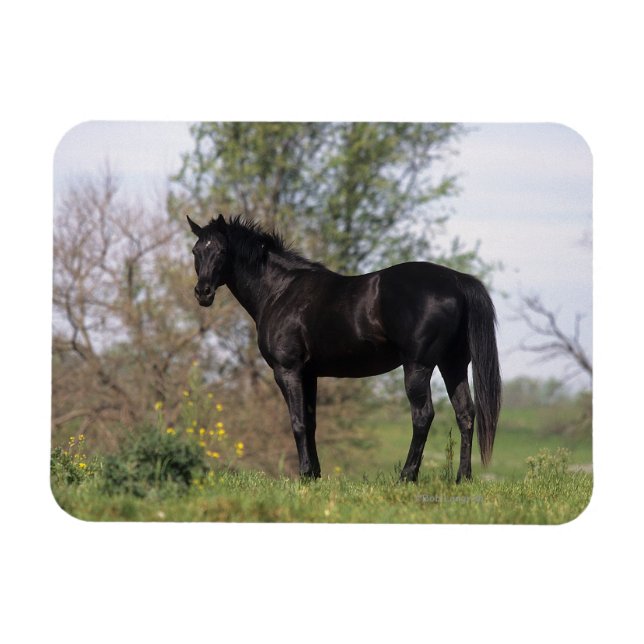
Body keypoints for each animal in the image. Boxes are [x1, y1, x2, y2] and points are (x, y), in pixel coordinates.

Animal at [187, 214, 501, 482]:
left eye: (221, 251)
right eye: (196, 251)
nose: (203, 293)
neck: (279, 291)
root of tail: (457, 281)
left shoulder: (287, 370)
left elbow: (297, 422)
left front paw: (304, 474)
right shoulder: (309, 374)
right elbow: (311, 422)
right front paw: (314, 475)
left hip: (418, 367)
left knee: (423, 416)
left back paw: (406, 476)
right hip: (453, 365)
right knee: (465, 414)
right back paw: (463, 478)